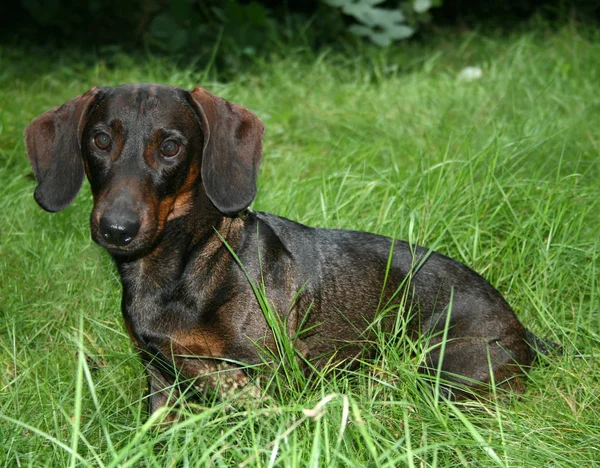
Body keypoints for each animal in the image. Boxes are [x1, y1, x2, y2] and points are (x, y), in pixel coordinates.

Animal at [25, 84, 556, 416]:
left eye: (172, 146)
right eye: (99, 139)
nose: (116, 229)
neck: (184, 267)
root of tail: (522, 330)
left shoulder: (266, 373)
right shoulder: (159, 378)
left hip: (444, 370)